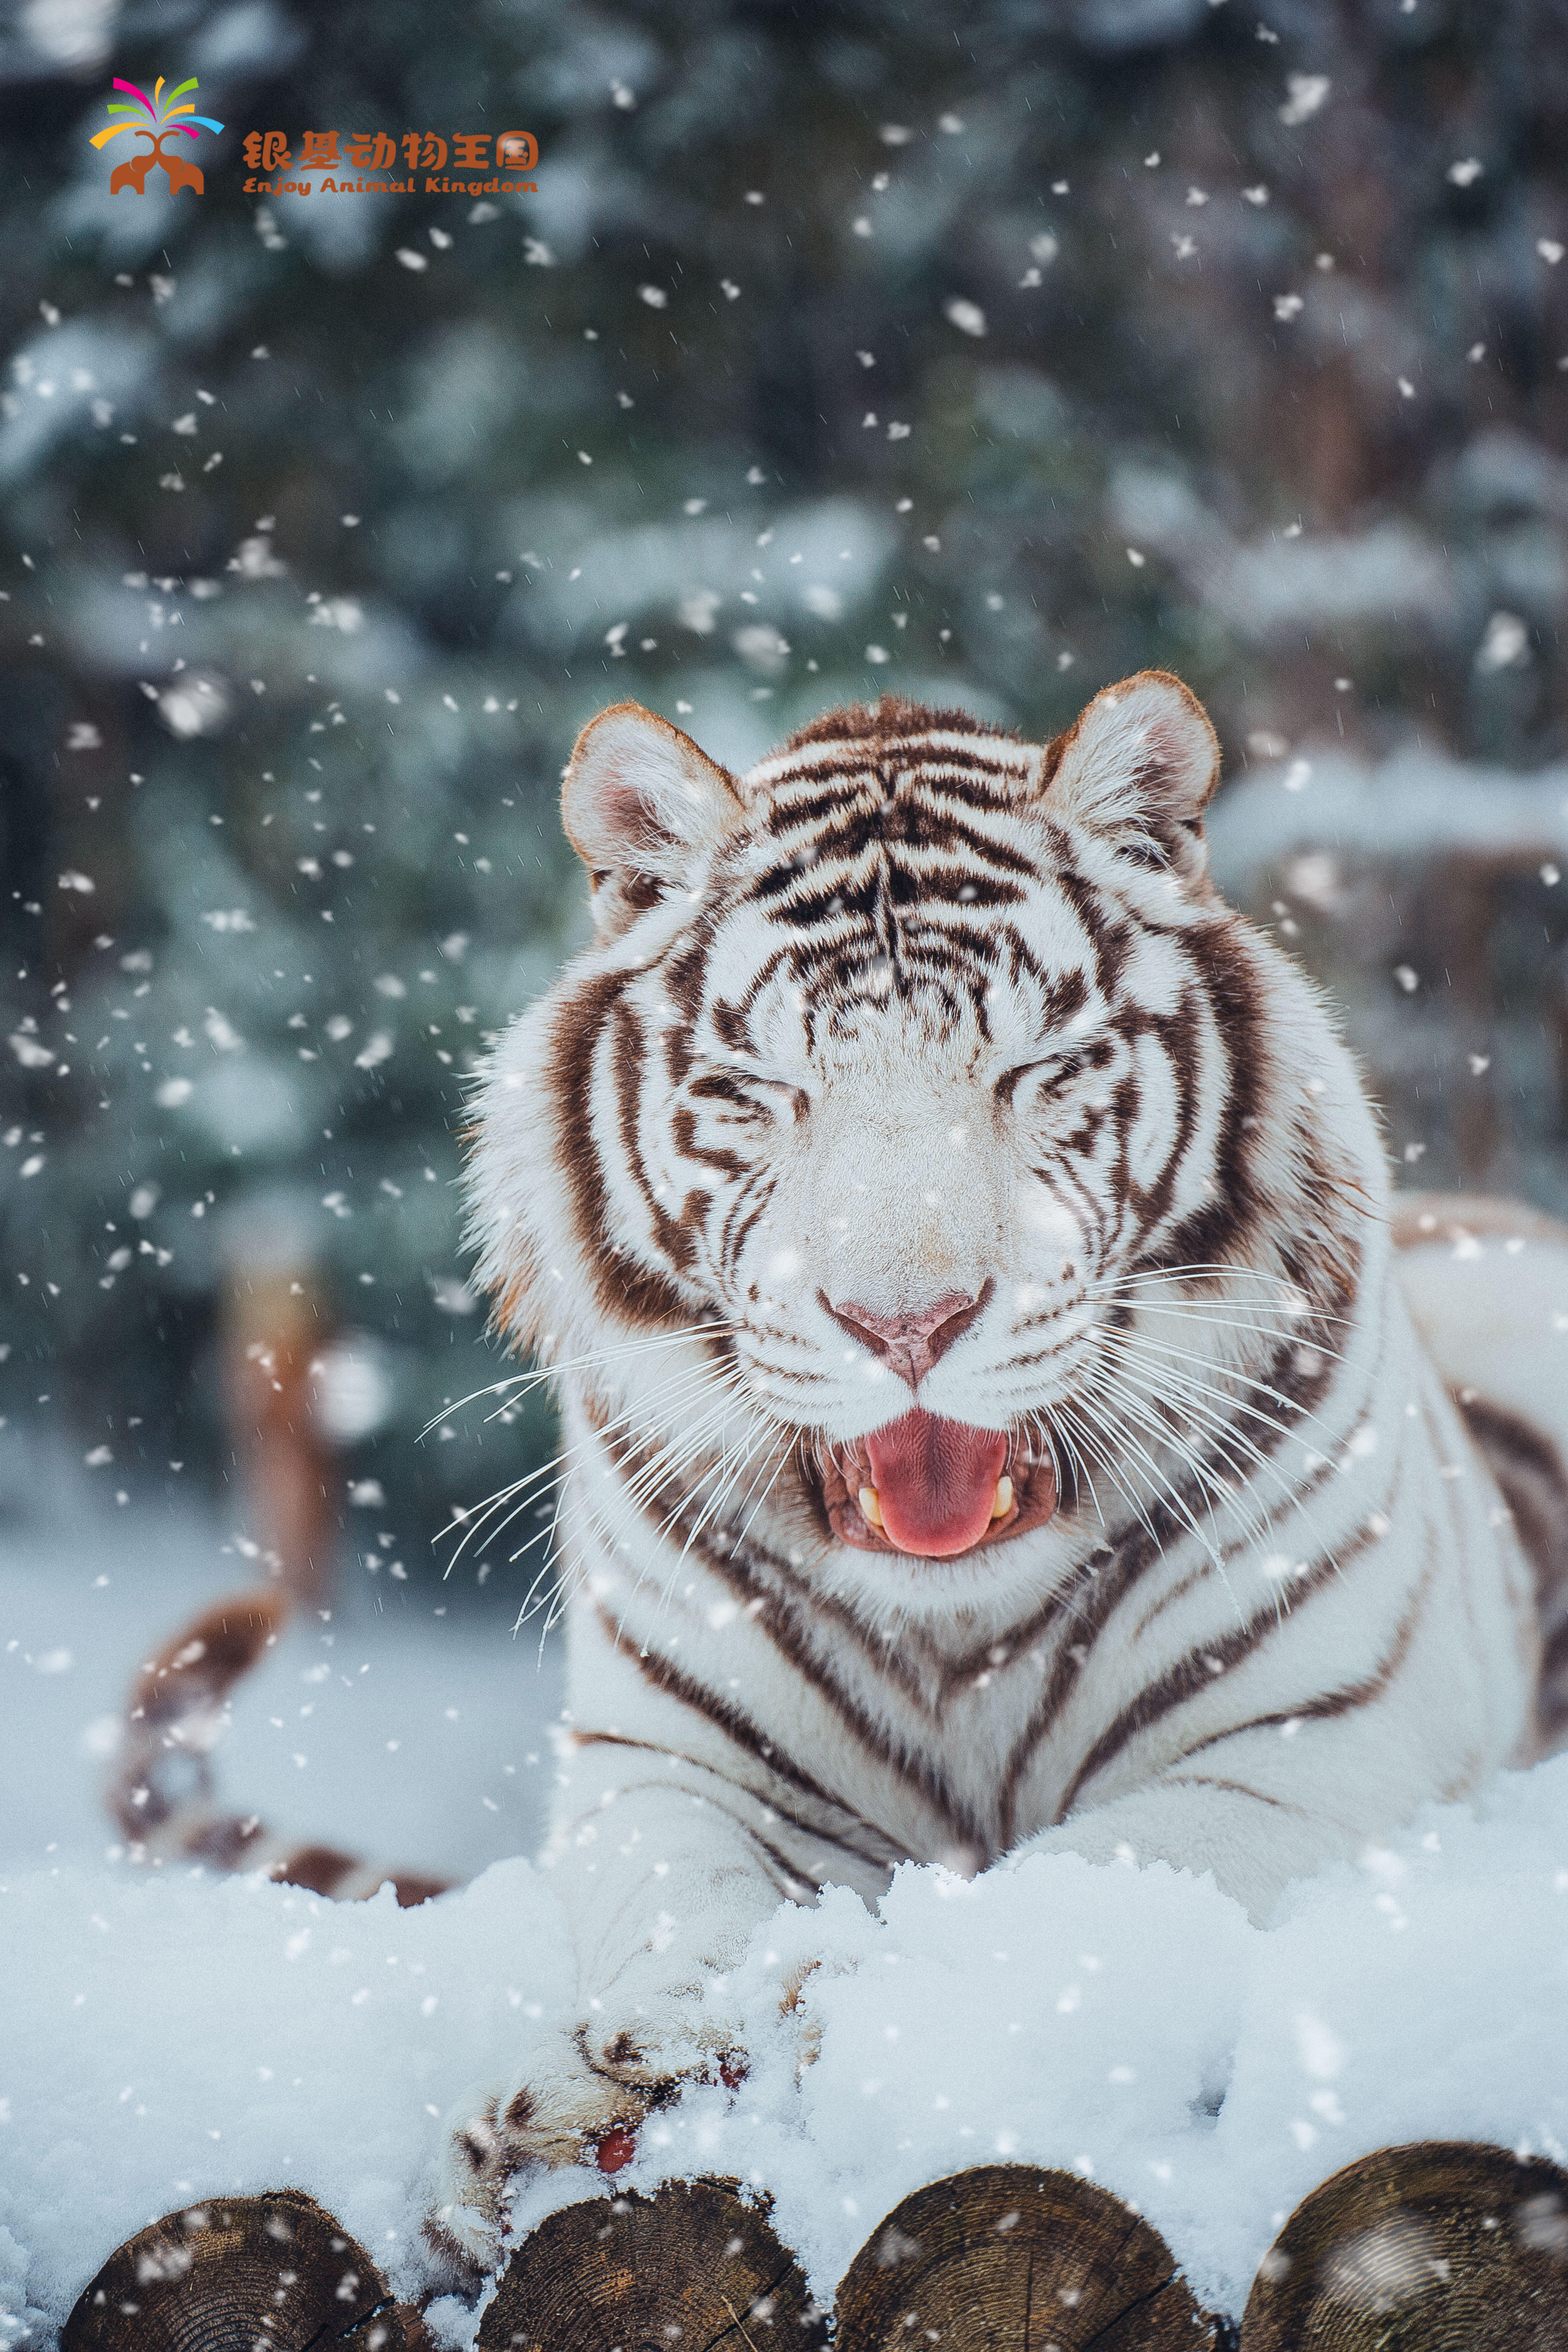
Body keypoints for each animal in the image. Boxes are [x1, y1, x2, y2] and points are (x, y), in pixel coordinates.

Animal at [432, 673, 1568, 2267]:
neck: (954, 1628)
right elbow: (688, 1910)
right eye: (762, 1085)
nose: (904, 1321)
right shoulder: (672, 1765)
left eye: (1032, 1070)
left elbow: (1047, 1902)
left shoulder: (1299, 1748)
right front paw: (593, 2094)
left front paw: (838, 2016)